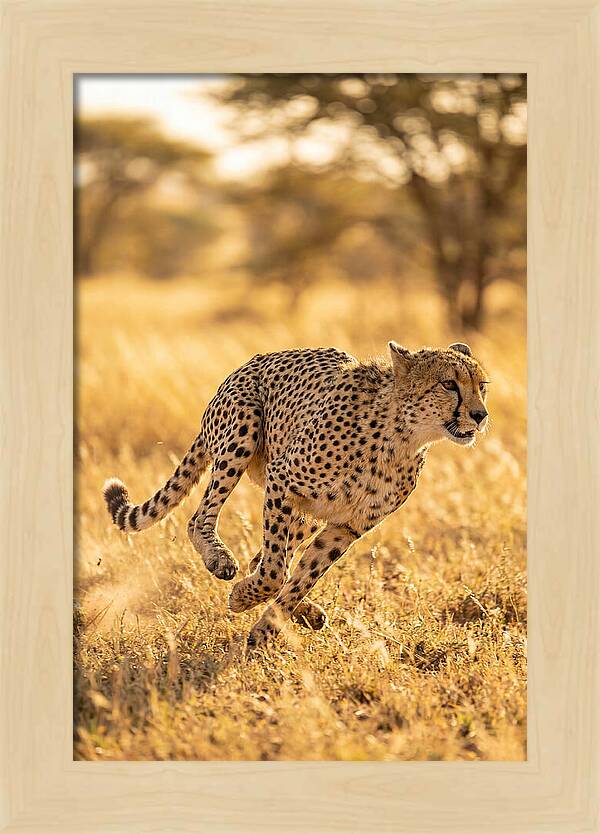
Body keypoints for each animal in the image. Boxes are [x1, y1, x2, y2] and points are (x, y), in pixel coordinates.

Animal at [103, 341, 489, 649]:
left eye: (481, 386)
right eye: (449, 384)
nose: (480, 415)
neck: (402, 437)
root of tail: (249, 363)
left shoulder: (347, 526)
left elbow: (302, 576)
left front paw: (267, 627)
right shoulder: (283, 480)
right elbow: (275, 571)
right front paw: (242, 598)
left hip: (306, 514)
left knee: (265, 557)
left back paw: (306, 612)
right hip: (242, 431)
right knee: (201, 519)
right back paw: (220, 559)